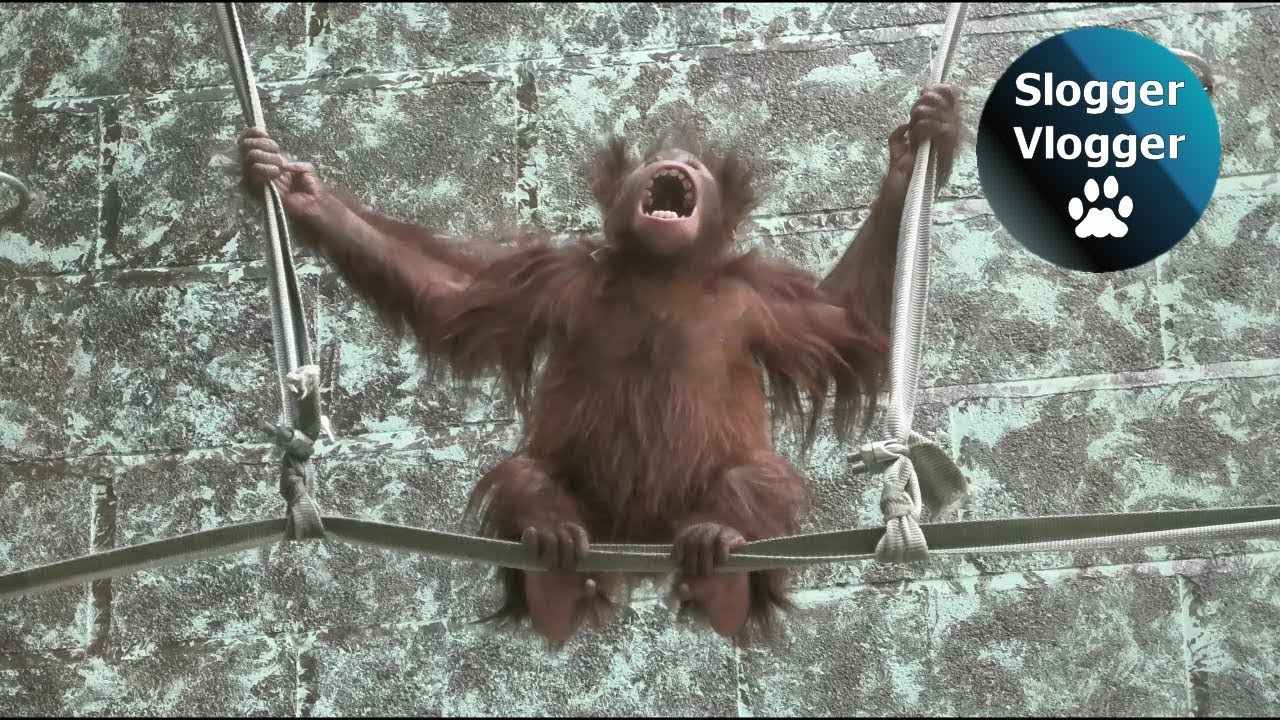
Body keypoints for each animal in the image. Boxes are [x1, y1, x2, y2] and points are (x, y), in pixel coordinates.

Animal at [237, 84, 962, 644]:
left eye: (694, 165)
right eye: (664, 162)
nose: (675, 161)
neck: (662, 273)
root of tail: (638, 547)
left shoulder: (767, 302)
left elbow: (847, 323)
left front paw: (917, 151)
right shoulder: (556, 280)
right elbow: (452, 298)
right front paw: (300, 194)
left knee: (755, 475)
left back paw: (717, 557)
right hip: (591, 517)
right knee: (530, 475)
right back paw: (554, 558)